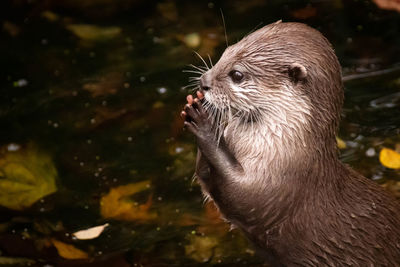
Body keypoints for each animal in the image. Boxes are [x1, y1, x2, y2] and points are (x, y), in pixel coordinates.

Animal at [180, 21, 400, 266]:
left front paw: (205, 123)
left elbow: (240, 195)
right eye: (225, 52)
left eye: (237, 74)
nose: (204, 82)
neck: (288, 147)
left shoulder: (281, 185)